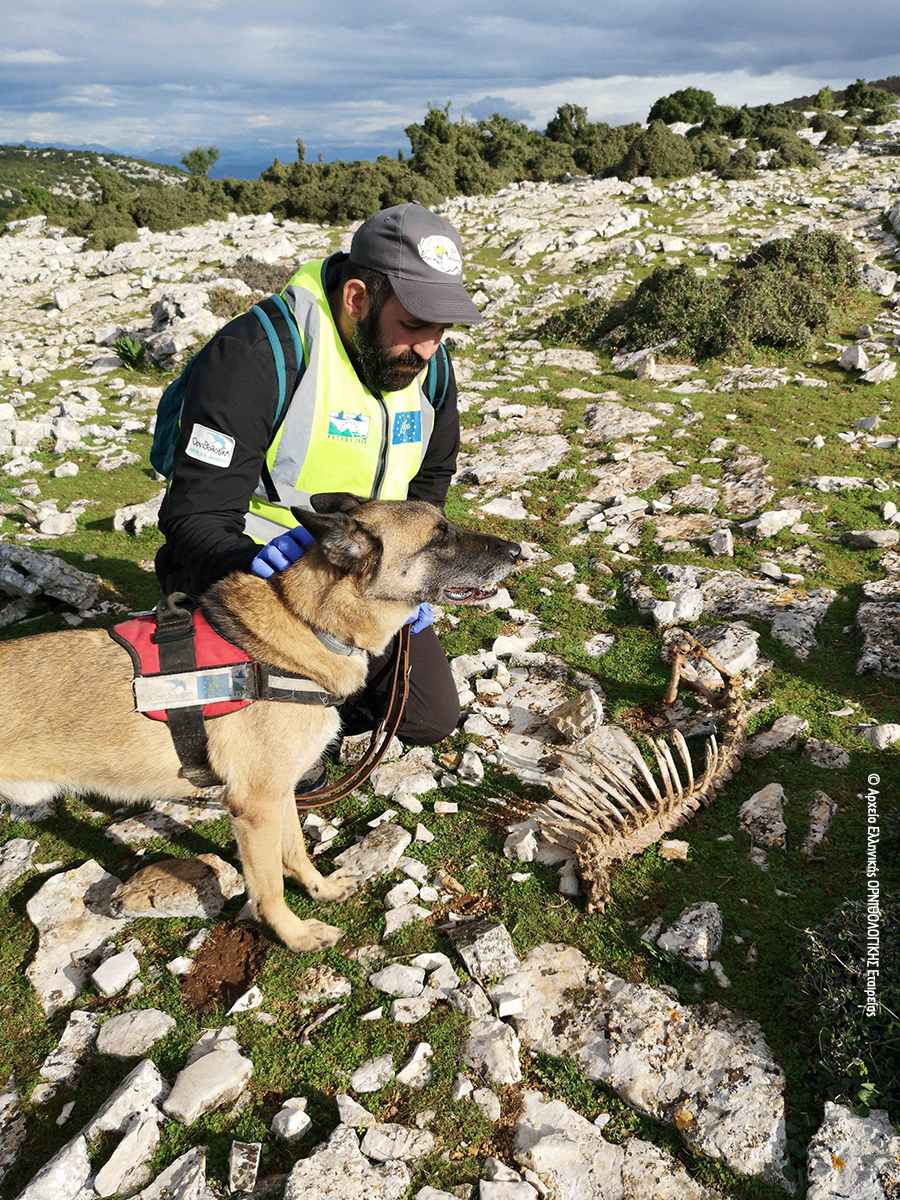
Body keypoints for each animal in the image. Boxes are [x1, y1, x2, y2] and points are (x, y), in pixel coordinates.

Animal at [0, 492, 520, 950]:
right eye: (439, 536)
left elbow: (295, 851)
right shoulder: (254, 806)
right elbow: (269, 885)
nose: (518, 552)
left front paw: (320, 889)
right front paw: (295, 935)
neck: (309, 622)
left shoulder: (281, 792)